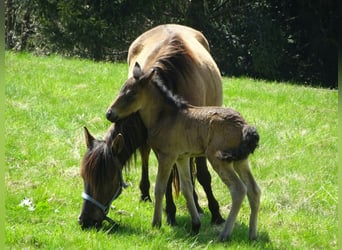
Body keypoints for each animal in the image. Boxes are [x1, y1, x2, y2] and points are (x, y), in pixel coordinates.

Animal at [77, 24, 224, 229]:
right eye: (83, 176)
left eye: (109, 179)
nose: (85, 220)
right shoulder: (161, 145)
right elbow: (167, 178)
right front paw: (170, 213)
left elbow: (202, 175)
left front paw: (215, 213)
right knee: (146, 156)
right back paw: (146, 193)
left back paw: (196, 203)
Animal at [105, 63, 260, 242]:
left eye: (131, 94)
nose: (109, 113)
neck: (165, 117)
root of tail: (245, 127)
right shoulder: (182, 157)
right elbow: (187, 188)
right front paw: (195, 225)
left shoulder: (167, 155)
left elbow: (160, 187)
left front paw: (156, 223)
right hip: (240, 160)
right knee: (254, 189)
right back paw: (252, 234)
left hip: (219, 159)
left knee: (238, 190)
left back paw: (225, 234)